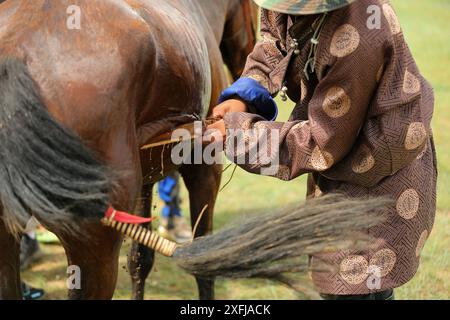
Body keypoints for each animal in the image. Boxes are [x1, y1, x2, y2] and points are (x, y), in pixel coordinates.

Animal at [0, 0, 255, 300]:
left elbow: (140, 259)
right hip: (95, 248)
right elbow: (203, 262)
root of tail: (16, 50)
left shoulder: (147, 174)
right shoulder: (205, 168)